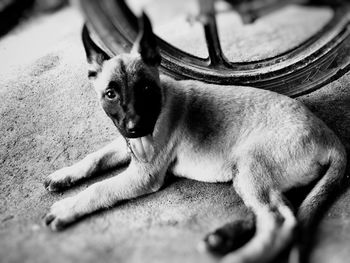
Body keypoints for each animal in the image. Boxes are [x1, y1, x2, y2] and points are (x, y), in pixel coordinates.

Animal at [44, 13, 348, 263]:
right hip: (252, 175)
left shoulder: (143, 174)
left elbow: (99, 188)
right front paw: (65, 175)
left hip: (250, 164)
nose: (136, 127)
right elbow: (95, 157)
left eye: (145, 88)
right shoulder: (127, 144)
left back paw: (240, 256)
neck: (162, 101)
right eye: (111, 94)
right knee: (283, 208)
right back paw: (222, 239)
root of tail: (330, 137)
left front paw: (68, 208)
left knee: (279, 220)